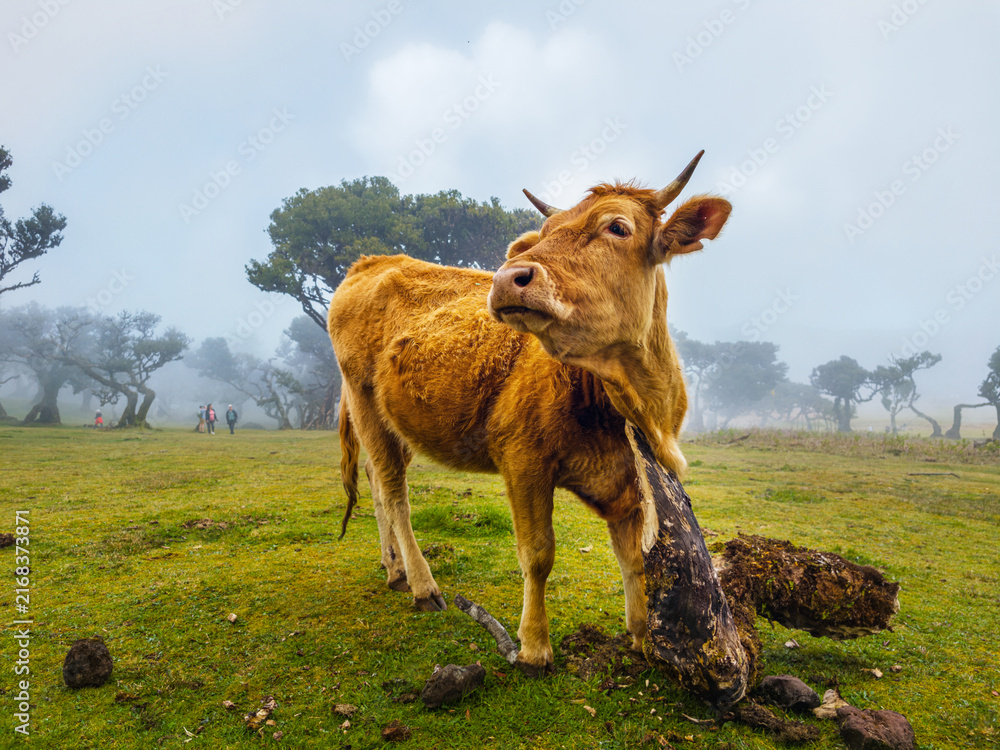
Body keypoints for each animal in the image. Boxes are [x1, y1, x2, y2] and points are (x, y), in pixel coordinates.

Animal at [328, 152, 732, 675]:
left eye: (617, 227)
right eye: (544, 233)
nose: (507, 278)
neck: (629, 402)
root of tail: (373, 260)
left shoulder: (630, 479)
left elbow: (634, 559)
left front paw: (642, 637)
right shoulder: (523, 459)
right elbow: (538, 554)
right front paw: (534, 646)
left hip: (394, 423)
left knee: (377, 485)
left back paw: (393, 567)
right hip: (365, 403)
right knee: (394, 494)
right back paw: (421, 584)